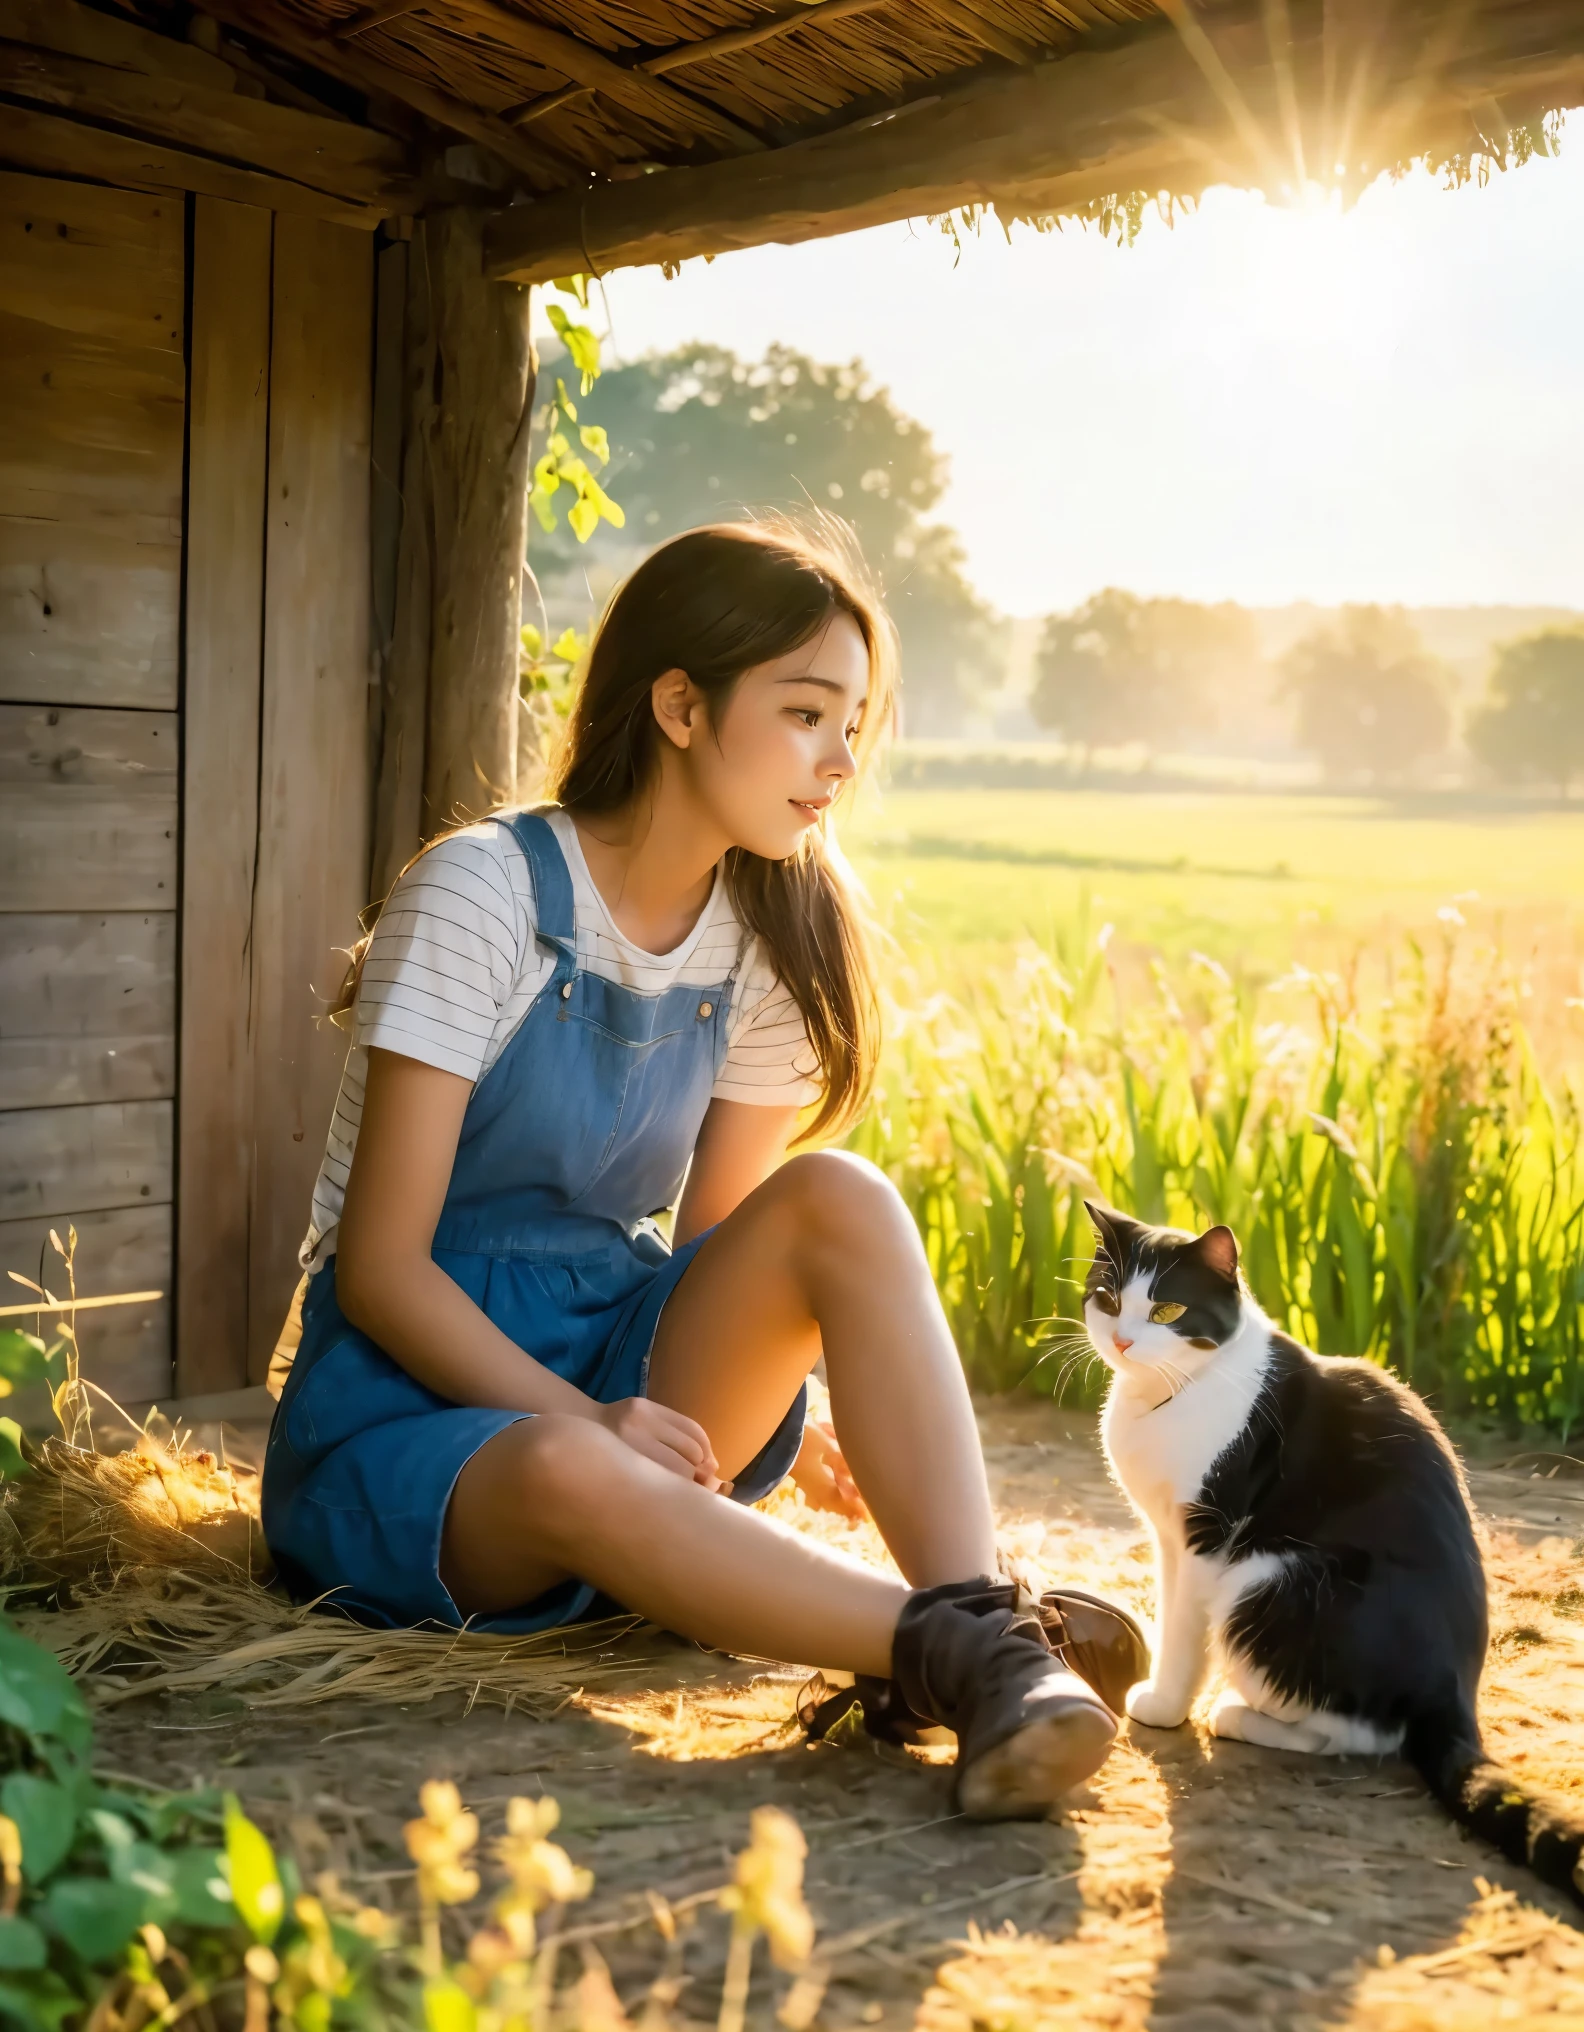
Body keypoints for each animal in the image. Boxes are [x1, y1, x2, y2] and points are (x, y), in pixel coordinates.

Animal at [1080, 1186, 1584, 1901]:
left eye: (1168, 1310)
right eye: (1108, 1298)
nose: (1123, 1340)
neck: (1168, 1393)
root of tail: (1455, 1691)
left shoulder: (1209, 1534)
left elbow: (1183, 1627)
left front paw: (1165, 1705)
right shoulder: (1169, 1536)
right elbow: (1172, 1609)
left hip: (1266, 1582)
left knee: (1365, 1731)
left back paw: (1238, 1716)